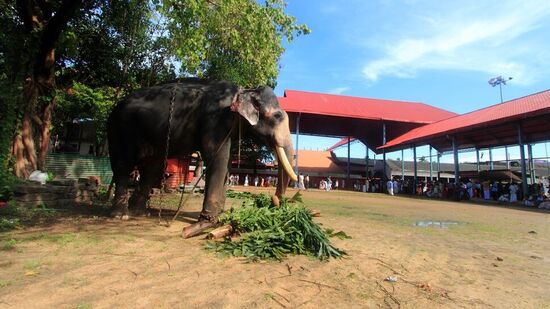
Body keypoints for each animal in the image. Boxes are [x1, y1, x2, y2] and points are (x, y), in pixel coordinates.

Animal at [107, 77, 298, 233]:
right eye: (277, 116)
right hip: (120, 127)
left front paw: (220, 217)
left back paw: (140, 213)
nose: (273, 203)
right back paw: (120, 215)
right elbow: (217, 158)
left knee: (151, 169)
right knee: (123, 165)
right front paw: (205, 223)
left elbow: (227, 163)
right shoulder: (216, 119)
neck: (243, 91)